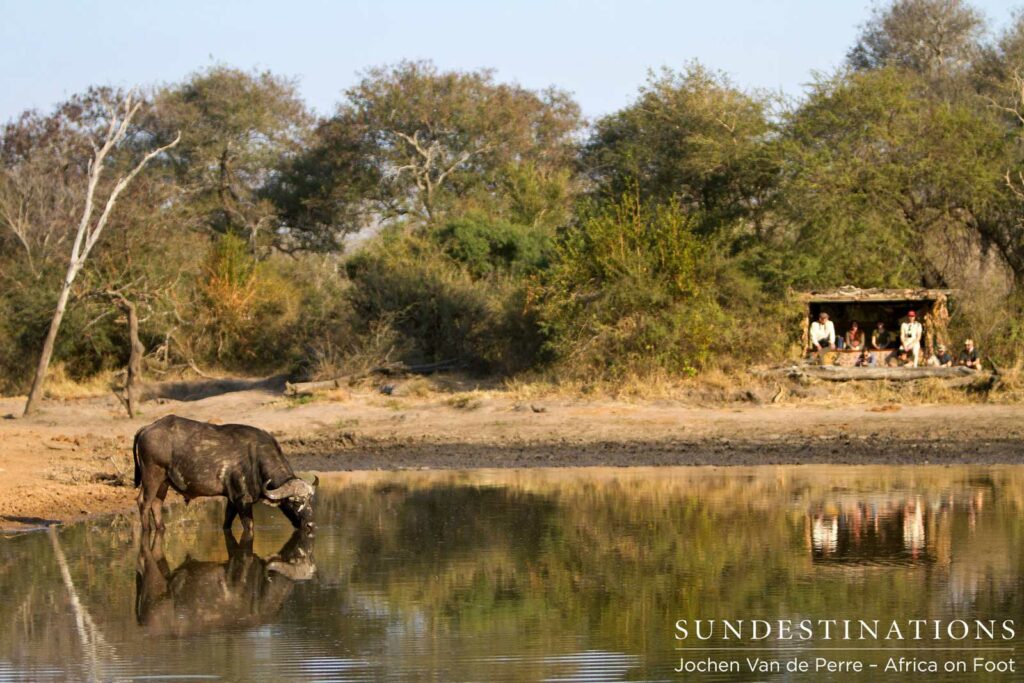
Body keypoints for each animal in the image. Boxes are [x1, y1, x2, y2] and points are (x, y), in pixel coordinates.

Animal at [133, 415, 318, 535]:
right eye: (295, 502)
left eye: (310, 500)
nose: (310, 525)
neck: (256, 459)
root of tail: (148, 428)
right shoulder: (243, 501)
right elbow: (249, 527)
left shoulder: (232, 499)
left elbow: (226, 523)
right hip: (152, 476)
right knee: (143, 502)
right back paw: (146, 530)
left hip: (163, 482)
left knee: (156, 504)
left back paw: (161, 528)